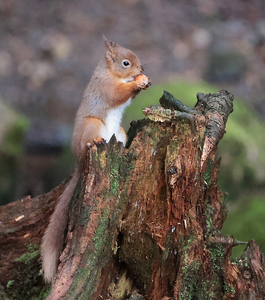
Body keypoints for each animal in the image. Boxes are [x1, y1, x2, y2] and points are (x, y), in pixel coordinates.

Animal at [39, 36, 151, 282]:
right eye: (126, 63)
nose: (142, 69)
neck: (111, 73)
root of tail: (80, 161)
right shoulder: (105, 87)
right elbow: (118, 95)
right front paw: (136, 83)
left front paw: (144, 81)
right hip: (92, 126)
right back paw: (97, 141)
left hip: (120, 132)